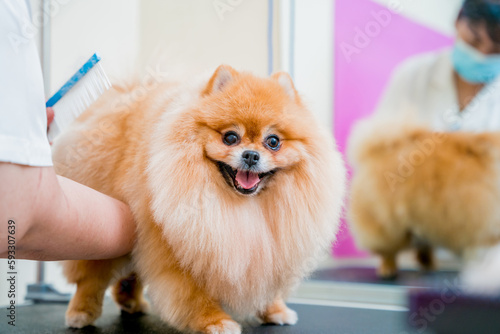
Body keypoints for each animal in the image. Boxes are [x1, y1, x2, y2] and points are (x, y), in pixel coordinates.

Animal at [52, 66, 346, 334]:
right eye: (230, 137)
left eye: (273, 141)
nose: (251, 155)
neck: (243, 205)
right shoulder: (177, 248)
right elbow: (192, 295)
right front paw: (215, 321)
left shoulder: (267, 250)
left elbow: (264, 283)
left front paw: (274, 310)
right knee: (91, 275)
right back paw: (81, 312)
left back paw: (131, 302)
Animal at [348, 118, 500, 278]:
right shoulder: (483, 229)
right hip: (387, 226)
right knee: (388, 252)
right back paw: (388, 270)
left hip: (421, 222)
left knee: (423, 247)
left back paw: (428, 265)